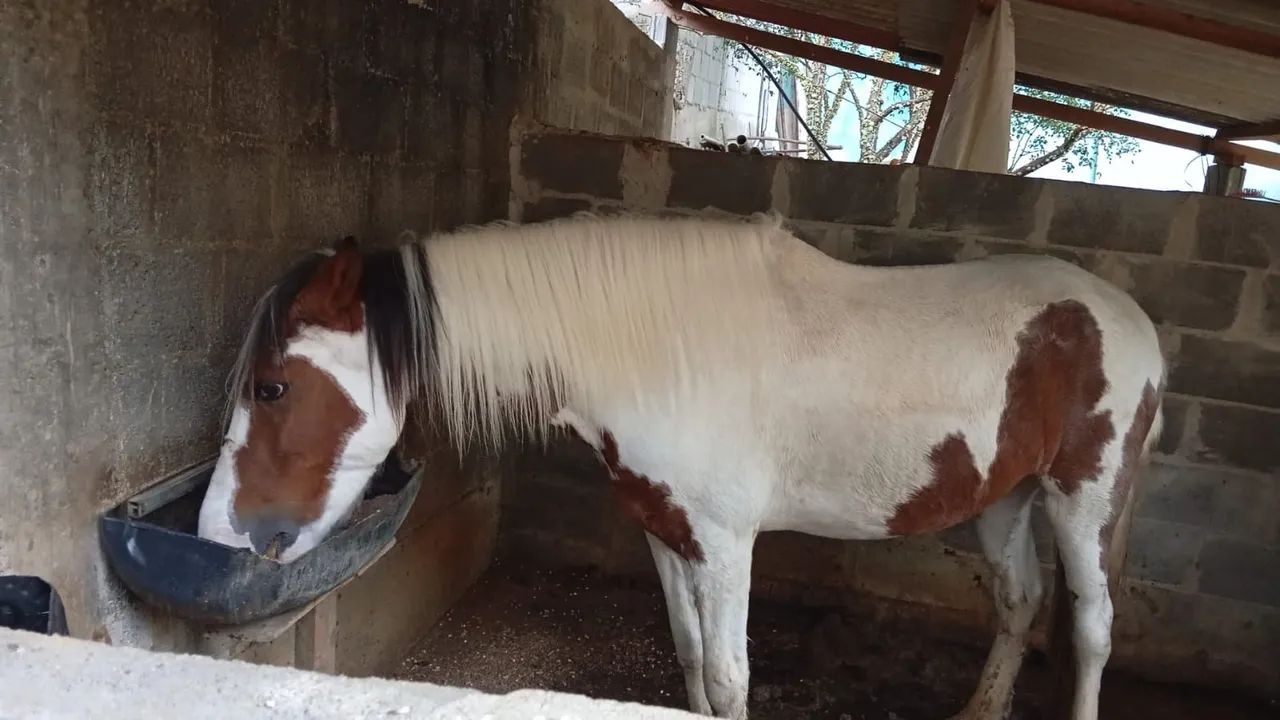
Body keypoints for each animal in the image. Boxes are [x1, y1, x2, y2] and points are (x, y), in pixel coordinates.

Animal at [197, 212, 1164, 720]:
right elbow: (693, 658)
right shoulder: (666, 533)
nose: (221, 534)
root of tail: (1131, 321)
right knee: (1020, 603)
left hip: (1083, 502)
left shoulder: (728, 546)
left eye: (273, 386)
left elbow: (732, 678)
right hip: (1008, 497)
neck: (659, 353)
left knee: (1090, 628)